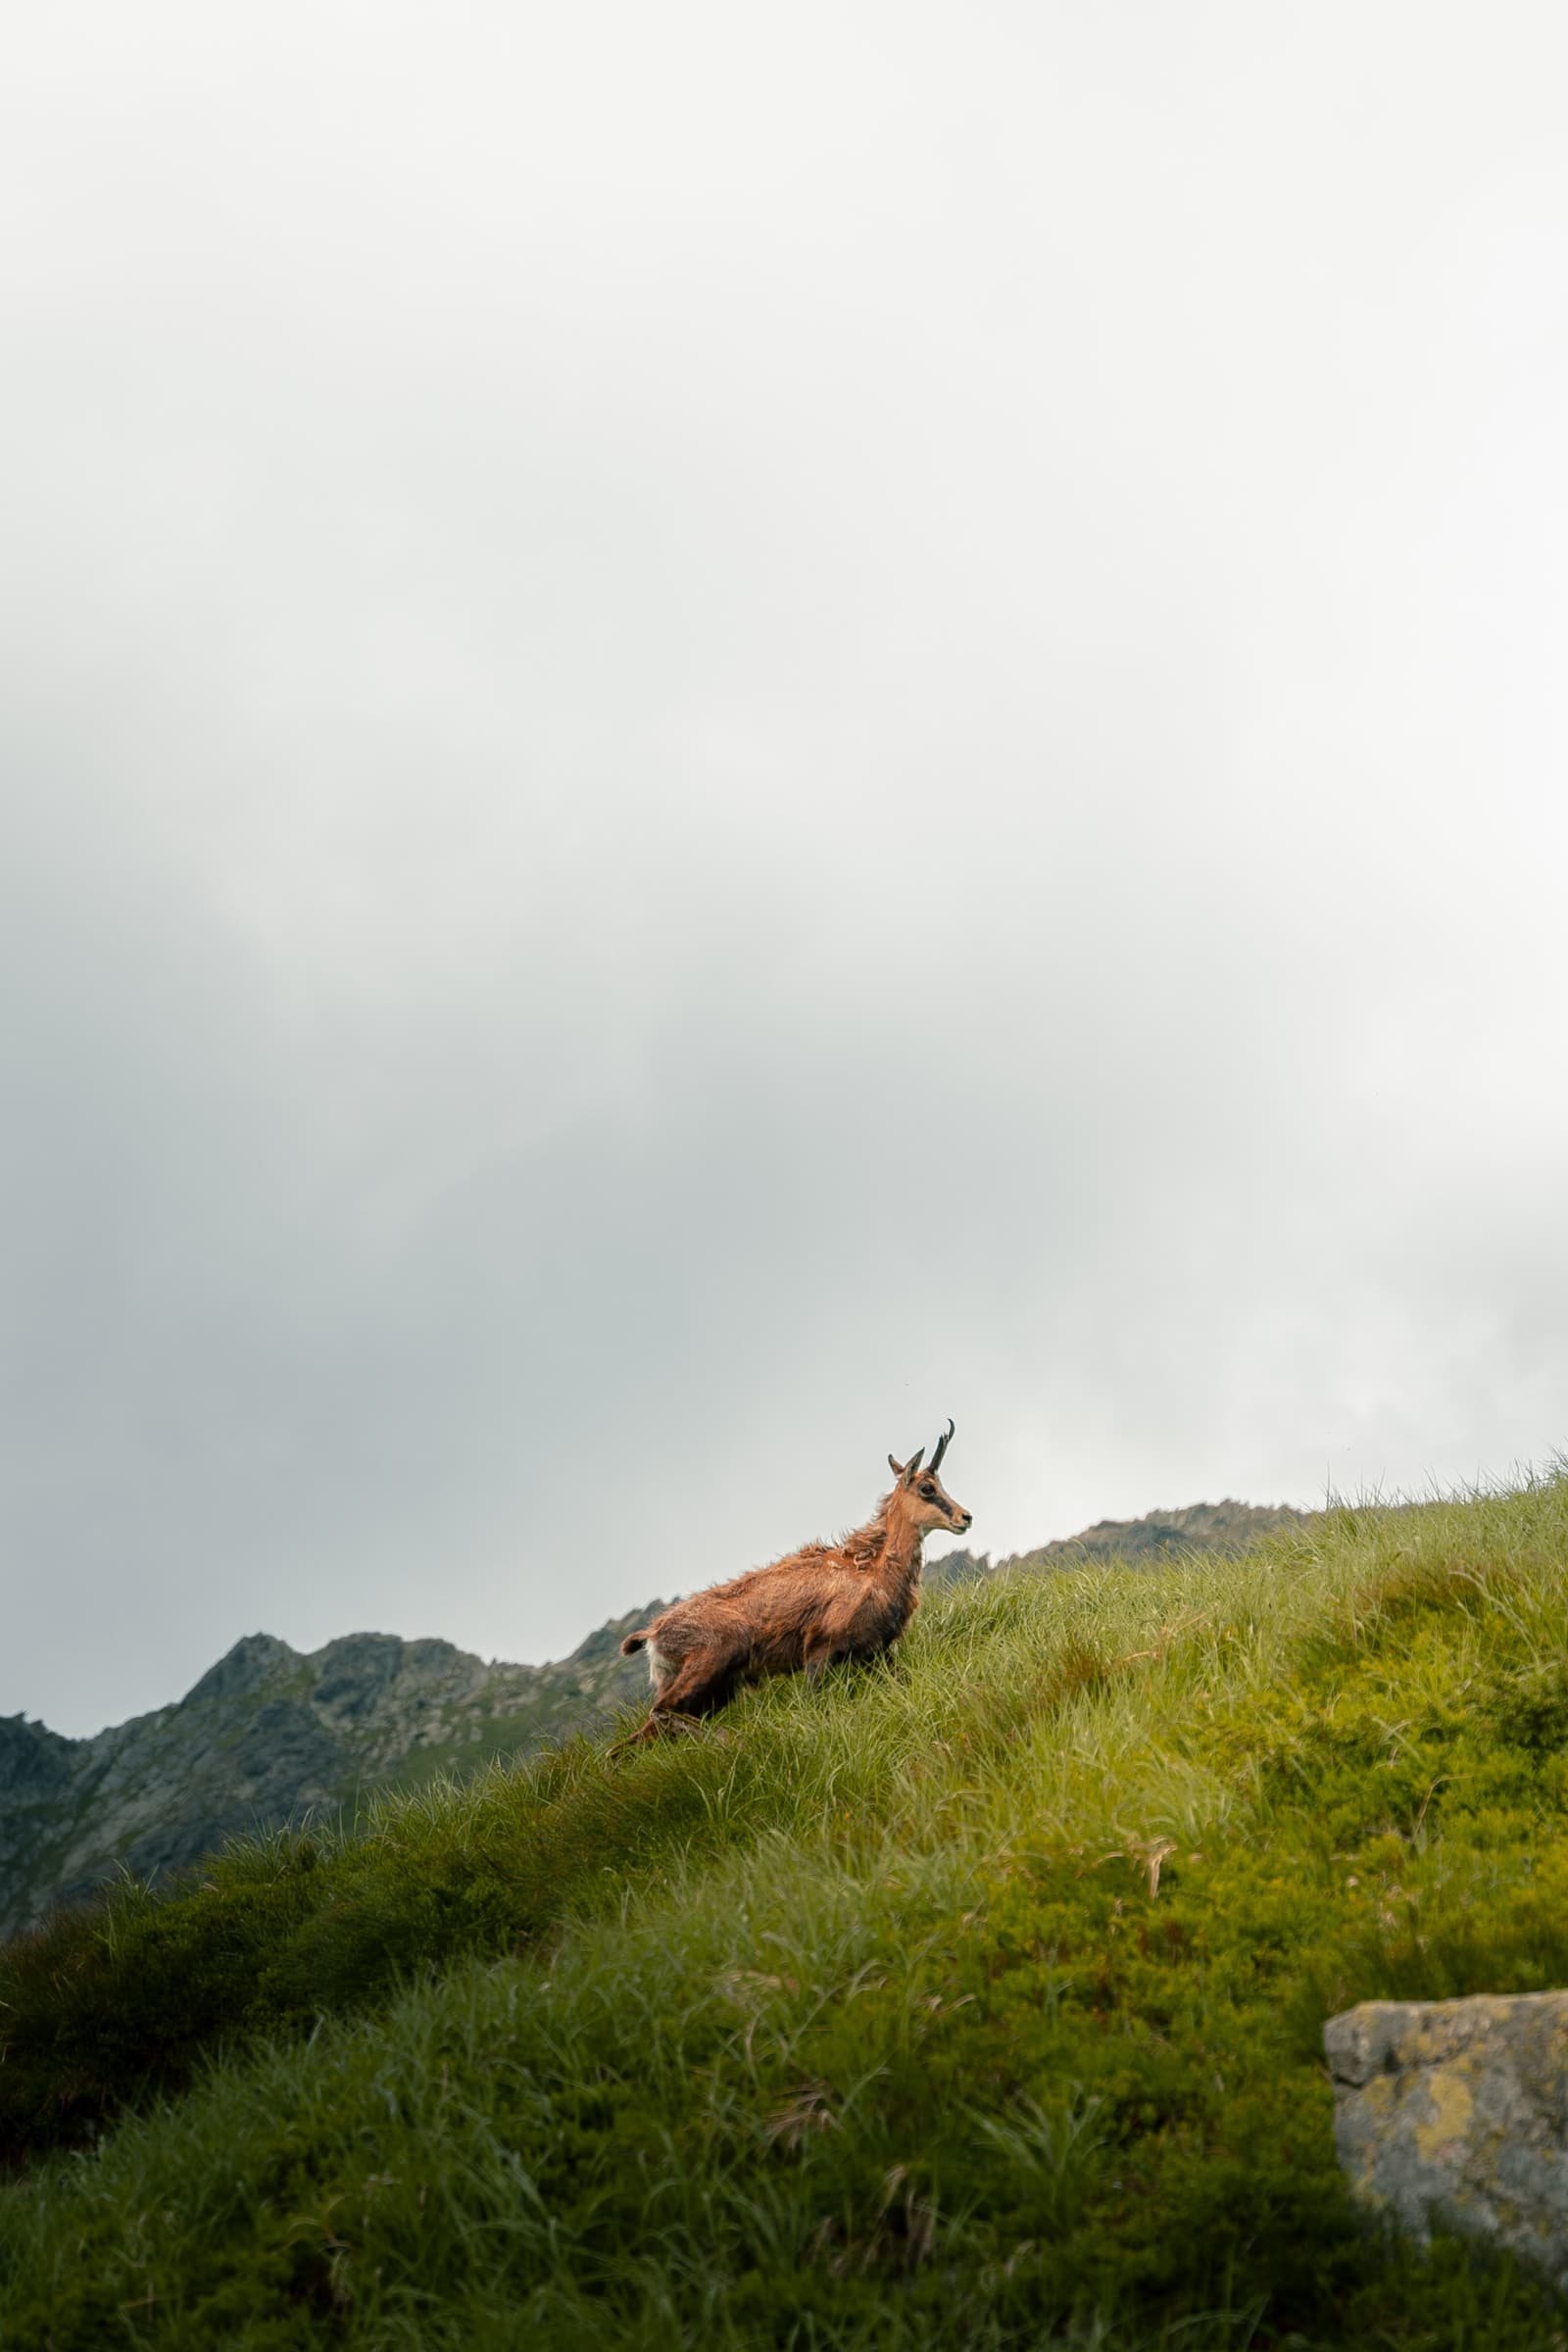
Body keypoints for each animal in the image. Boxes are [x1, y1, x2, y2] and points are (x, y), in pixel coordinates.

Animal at [615, 1421, 972, 1744]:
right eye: (927, 1488)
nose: (965, 1517)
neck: (871, 1570)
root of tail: (653, 1635)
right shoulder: (819, 1650)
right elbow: (812, 1701)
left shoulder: (877, 1652)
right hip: (714, 1658)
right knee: (660, 1712)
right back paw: (731, 1739)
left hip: (712, 1691)